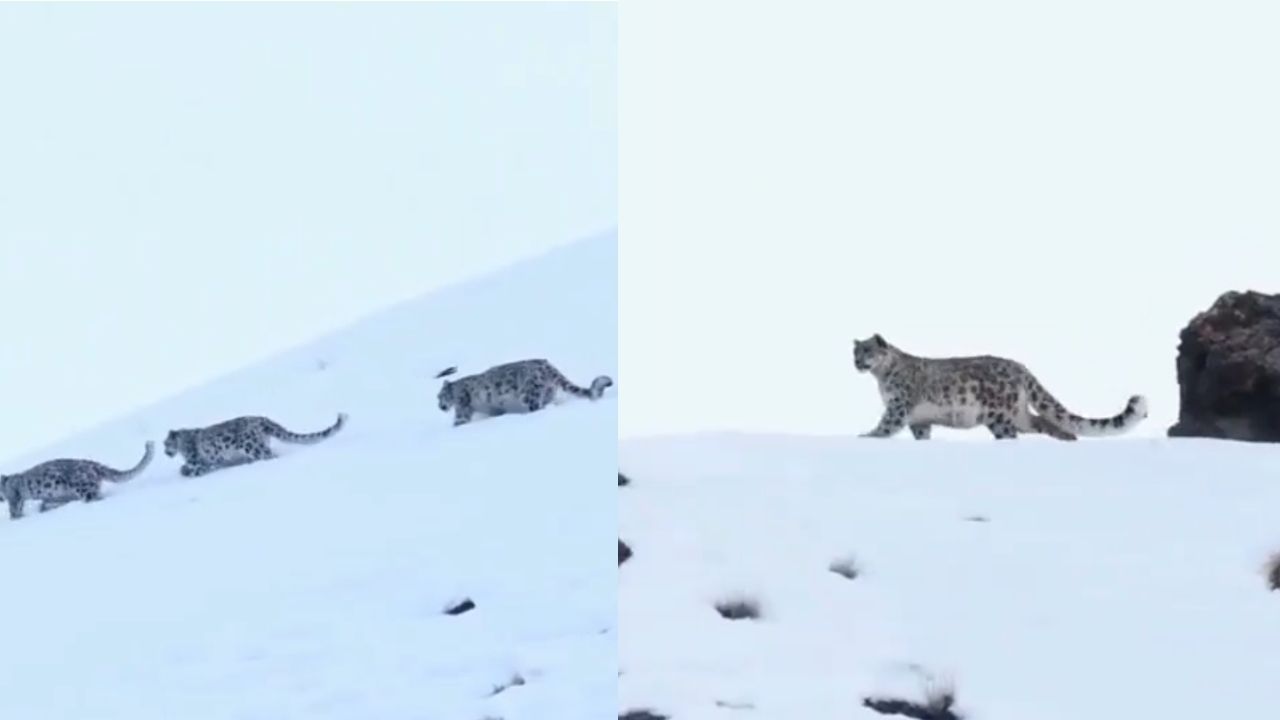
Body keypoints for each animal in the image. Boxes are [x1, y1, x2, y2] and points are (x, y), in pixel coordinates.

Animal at [1, 441, 155, 519]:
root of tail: (93, 464)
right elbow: (45, 504)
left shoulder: (14, 497)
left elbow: (14, 509)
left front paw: (14, 519)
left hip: (85, 489)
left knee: (96, 498)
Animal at [164, 413, 347, 477]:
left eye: (166, 443)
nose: (166, 452)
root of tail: (262, 419)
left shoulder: (197, 461)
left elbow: (193, 468)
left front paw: (184, 470)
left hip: (252, 446)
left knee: (271, 456)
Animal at [437, 358, 613, 426]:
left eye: (440, 396)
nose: (440, 407)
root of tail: (547, 365)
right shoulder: (493, 408)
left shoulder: (463, 407)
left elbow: (460, 420)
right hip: (547, 392)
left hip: (529, 395)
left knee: (537, 407)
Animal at [851, 333, 1148, 441]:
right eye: (855, 352)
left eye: (868, 351)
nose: (857, 362)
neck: (881, 378)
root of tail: (1019, 367)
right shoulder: (919, 419)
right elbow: (921, 433)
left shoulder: (898, 406)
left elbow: (886, 424)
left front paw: (868, 436)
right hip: (1017, 414)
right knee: (1045, 422)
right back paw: (1067, 439)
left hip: (1000, 416)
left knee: (1016, 432)